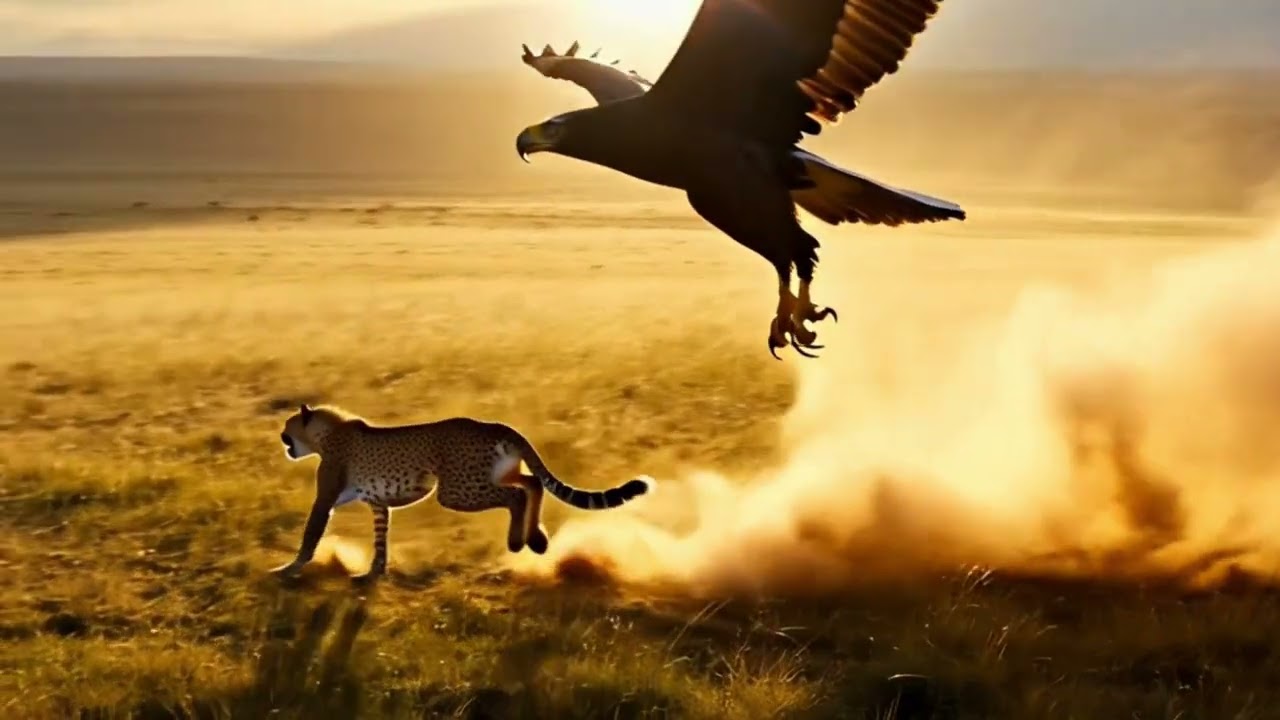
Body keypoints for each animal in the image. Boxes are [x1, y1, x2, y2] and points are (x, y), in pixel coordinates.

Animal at [270, 403, 653, 584]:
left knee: (516, 495)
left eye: (288, 428)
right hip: (493, 475)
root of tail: (496, 424)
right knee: (532, 483)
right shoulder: (380, 505)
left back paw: (518, 541)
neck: (325, 434)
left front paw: (288, 569)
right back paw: (537, 539)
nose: (283, 441)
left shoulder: (326, 500)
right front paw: (372, 574)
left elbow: (310, 535)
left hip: (455, 490)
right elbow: (380, 542)